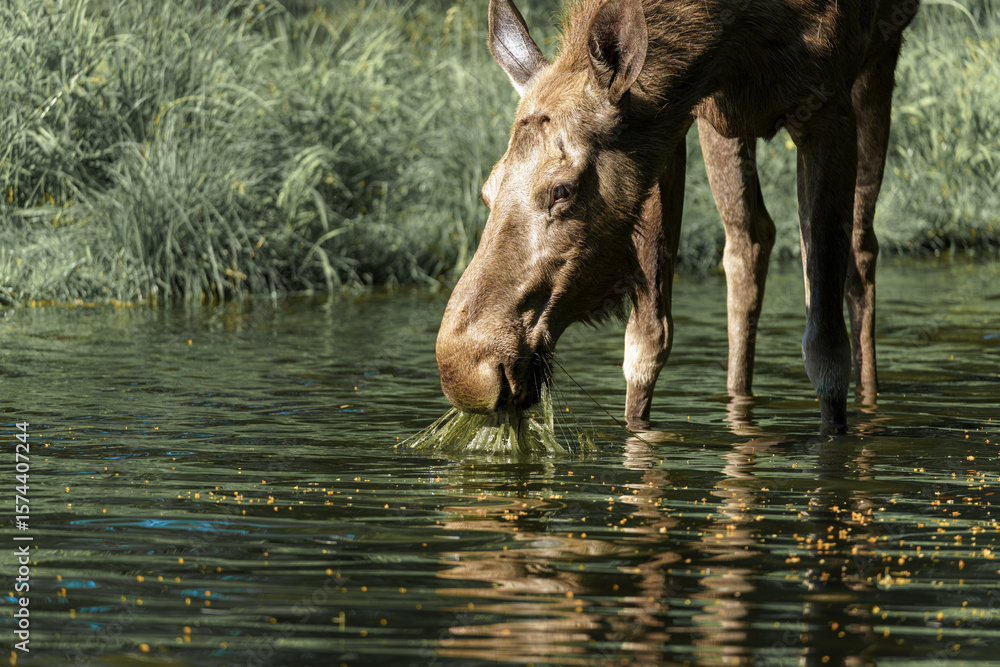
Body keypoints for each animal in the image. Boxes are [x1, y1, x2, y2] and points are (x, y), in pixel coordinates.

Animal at [435, 0, 918, 434]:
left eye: (562, 189)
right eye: (487, 189)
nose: (466, 371)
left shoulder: (828, 105)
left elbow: (826, 349)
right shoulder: (675, 116)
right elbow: (646, 341)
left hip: (881, 58)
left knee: (860, 248)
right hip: (725, 126)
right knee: (749, 242)